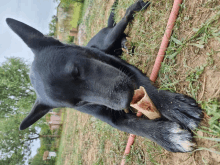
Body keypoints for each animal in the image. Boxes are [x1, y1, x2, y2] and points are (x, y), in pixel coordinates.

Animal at [6, 0, 202, 152]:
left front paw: (173, 106)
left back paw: (136, 7)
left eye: (76, 70)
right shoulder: (112, 117)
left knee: (124, 16)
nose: (127, 100)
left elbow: (146, 86)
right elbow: (137, 128)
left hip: (108, 38)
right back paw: (125, 44)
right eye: (80, 103)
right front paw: (166, 136)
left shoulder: (122, 68)